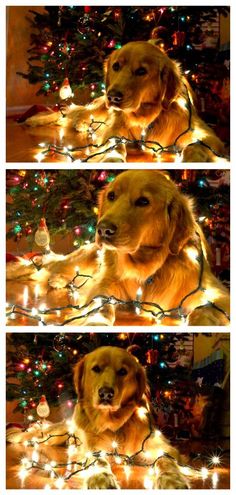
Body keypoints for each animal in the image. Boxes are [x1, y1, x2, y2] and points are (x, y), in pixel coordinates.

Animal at [6, 170, 229, 326]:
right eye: (111, 196)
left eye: (143, 201)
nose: (102, 229)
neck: (146, 267)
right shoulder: (104, 286)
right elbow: (100, 307)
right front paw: (95, 322)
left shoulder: (214, 291)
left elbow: (206, 310)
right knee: (47, 266)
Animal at [6, 346, 190, 490]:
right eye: (96, 369)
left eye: (123, 371)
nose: (106, 393)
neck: (114, 424)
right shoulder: (91, 448)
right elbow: (98, 460)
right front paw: (101, 478)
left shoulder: (157, 446)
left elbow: (165, 460)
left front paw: (173, 481)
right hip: (52, 436)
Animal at [25, 41, 227, 163]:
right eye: (116, 66)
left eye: (142, 71)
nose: (113, 96)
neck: (146, 116)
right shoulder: (112, 133)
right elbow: (113, 147)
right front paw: (111, 160)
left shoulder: (204, 133)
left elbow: (196, 146)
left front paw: (194, 161)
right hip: (98, 109)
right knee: (68, 112)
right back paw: (38, 120)